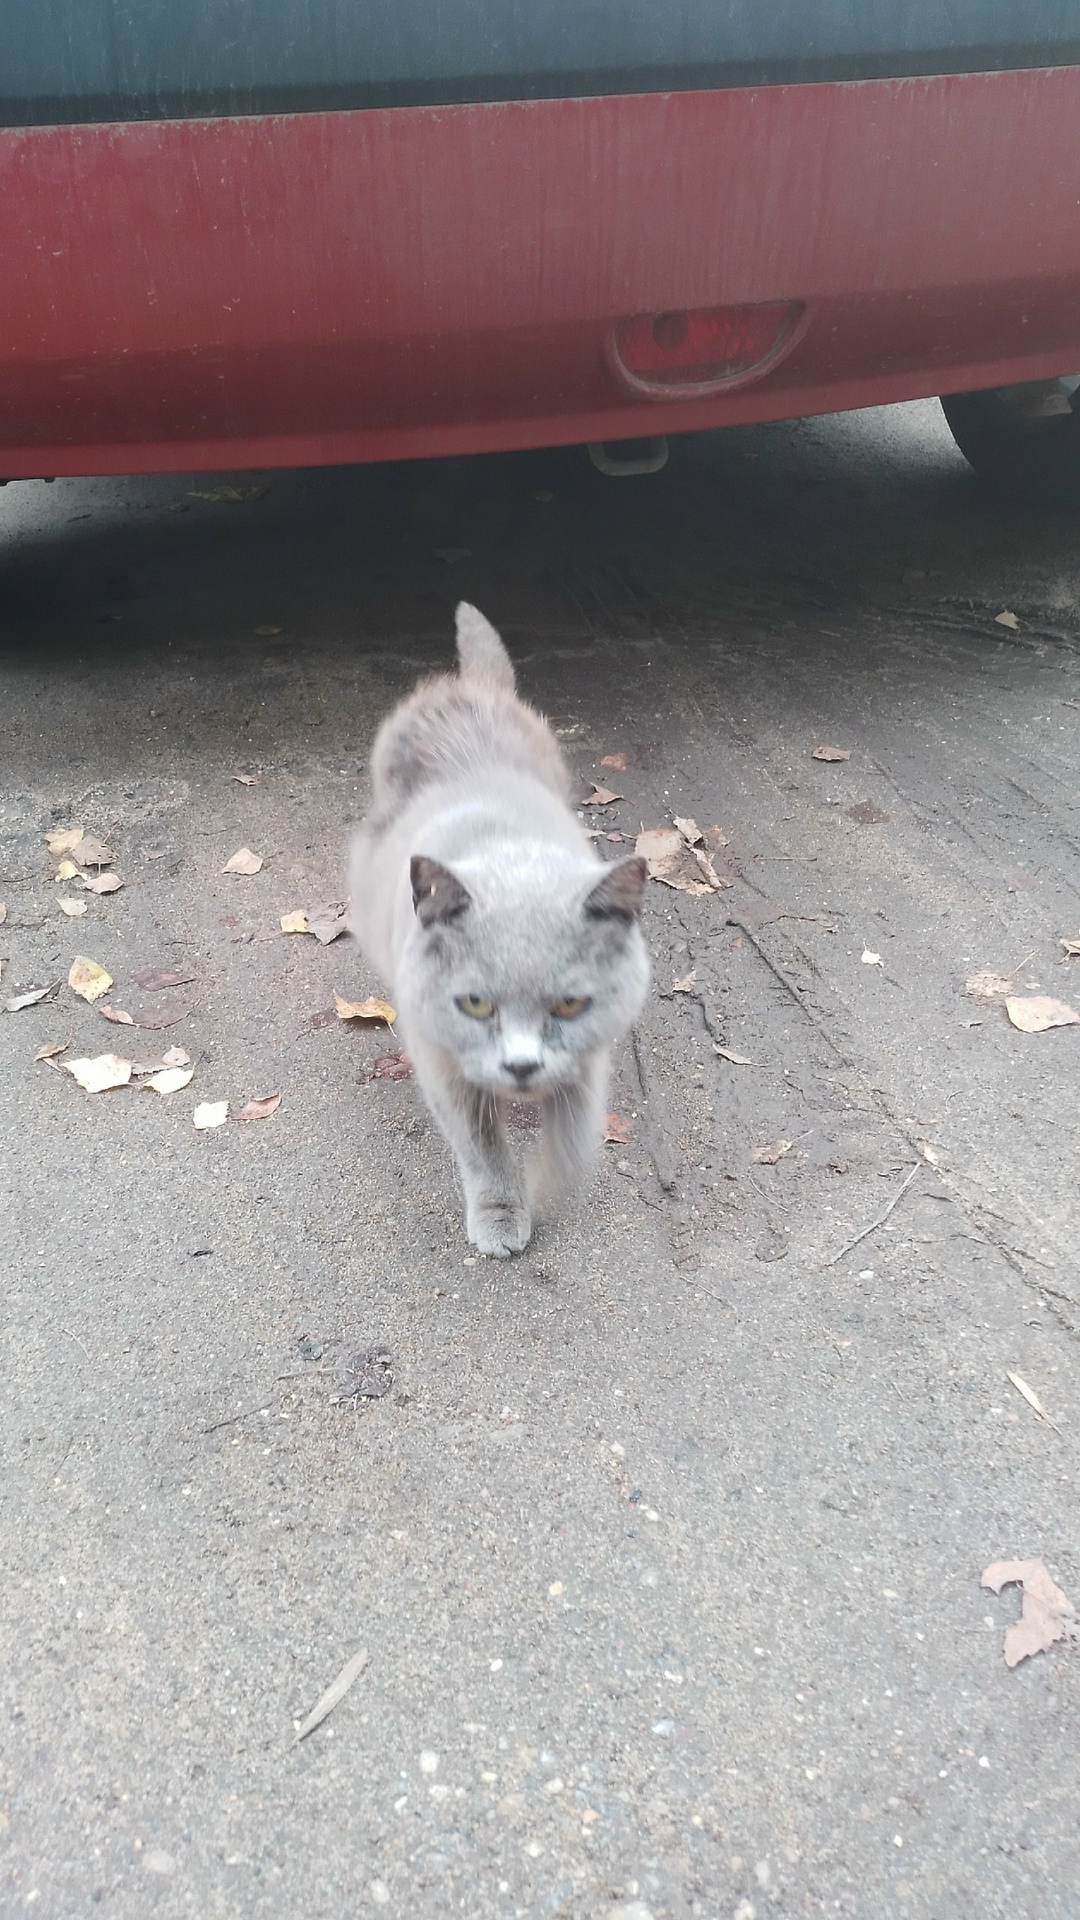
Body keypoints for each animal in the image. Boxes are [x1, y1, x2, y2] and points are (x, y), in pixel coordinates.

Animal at [347, 602, 650, 1256]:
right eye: (476, 1004)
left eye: (569, 1005)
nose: (521, 1066)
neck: (509, 853)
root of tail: (470, 687)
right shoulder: (442, 1063)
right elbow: (482, 1148)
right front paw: (504, 1214)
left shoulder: (590, 1058)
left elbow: (575, 1136)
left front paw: (547, 1181)